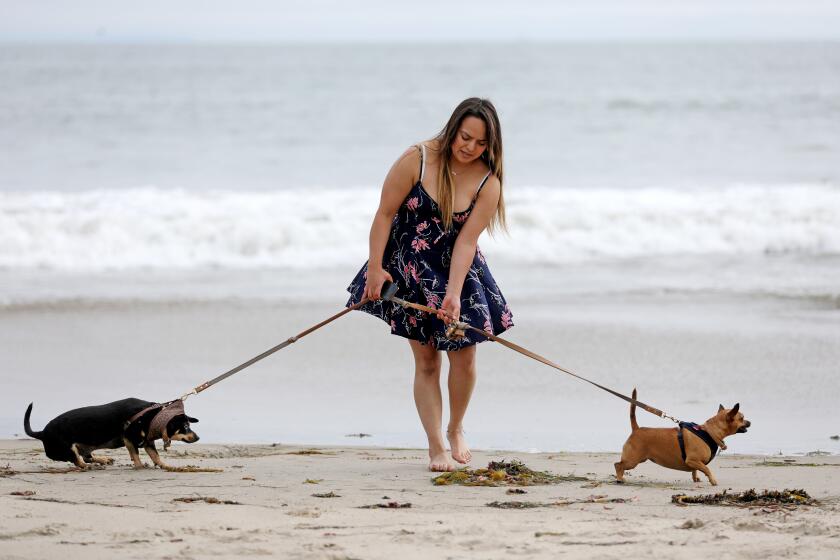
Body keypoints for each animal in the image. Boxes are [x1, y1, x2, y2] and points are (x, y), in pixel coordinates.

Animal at [24, 396, 199, 470]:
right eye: (185, 426)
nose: (198, 437)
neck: (151, 417)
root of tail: (42, 433)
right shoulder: (129, 439)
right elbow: (136, 456)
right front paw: (140, 466)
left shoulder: (148, 443)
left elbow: (156, 456)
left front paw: (164, 465)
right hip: (68, 448)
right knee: (79, 461)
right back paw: (91, 466)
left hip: (83, 447)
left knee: (86, 457)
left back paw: (103, 459)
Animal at [612, 390, 752, 486]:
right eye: (741, 418)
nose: (750, 422)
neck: (709, 432)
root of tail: (637, 429)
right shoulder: (693, 460)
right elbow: (706, 469)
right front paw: (713, 480)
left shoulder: (695, 463)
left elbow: (696, 470)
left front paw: (696, 479)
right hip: (632, 461)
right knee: (618, 465)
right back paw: (619, 478)